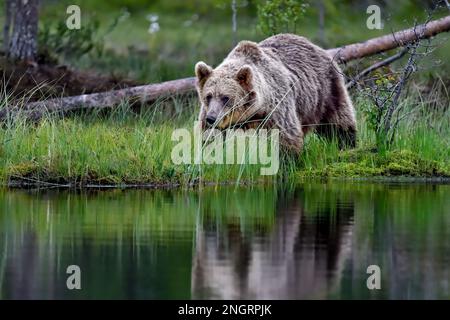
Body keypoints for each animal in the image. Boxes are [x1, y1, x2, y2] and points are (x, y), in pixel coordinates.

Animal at [195, 34, 356, 152]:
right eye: (208, 96)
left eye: (226, 98)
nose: (212, 118)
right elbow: (209, 139)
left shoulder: (275, 107)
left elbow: (285, 135)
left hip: (326, 88)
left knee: (337, 118)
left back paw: (347, 143)